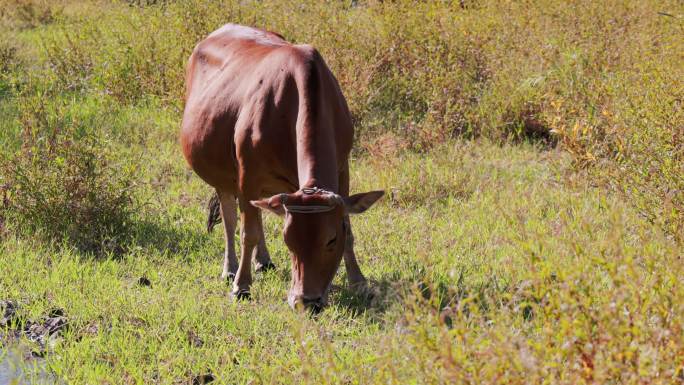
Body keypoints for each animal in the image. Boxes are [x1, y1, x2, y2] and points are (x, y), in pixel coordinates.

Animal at [180, 24, 384, 310]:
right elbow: (248, 232)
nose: (307, 301)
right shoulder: (247, 175)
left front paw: (359, 282)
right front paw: (241, 286)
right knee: (231, 218)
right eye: (288, 239)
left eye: (331, 239)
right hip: (222, 175)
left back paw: (263, 260)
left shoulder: (343, 167)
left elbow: (350, 229)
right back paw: (231, 267)